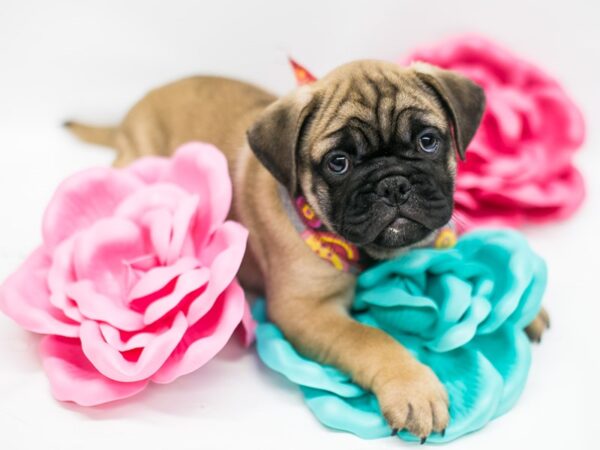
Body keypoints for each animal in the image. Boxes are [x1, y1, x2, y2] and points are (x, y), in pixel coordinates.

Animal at [65, 59, 548, 440]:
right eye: (339, 163)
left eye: (428, 141)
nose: (393, 184)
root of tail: (129, 117)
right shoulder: (305, 310)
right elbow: (370, 338)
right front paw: (412, 386)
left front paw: (528, 310)